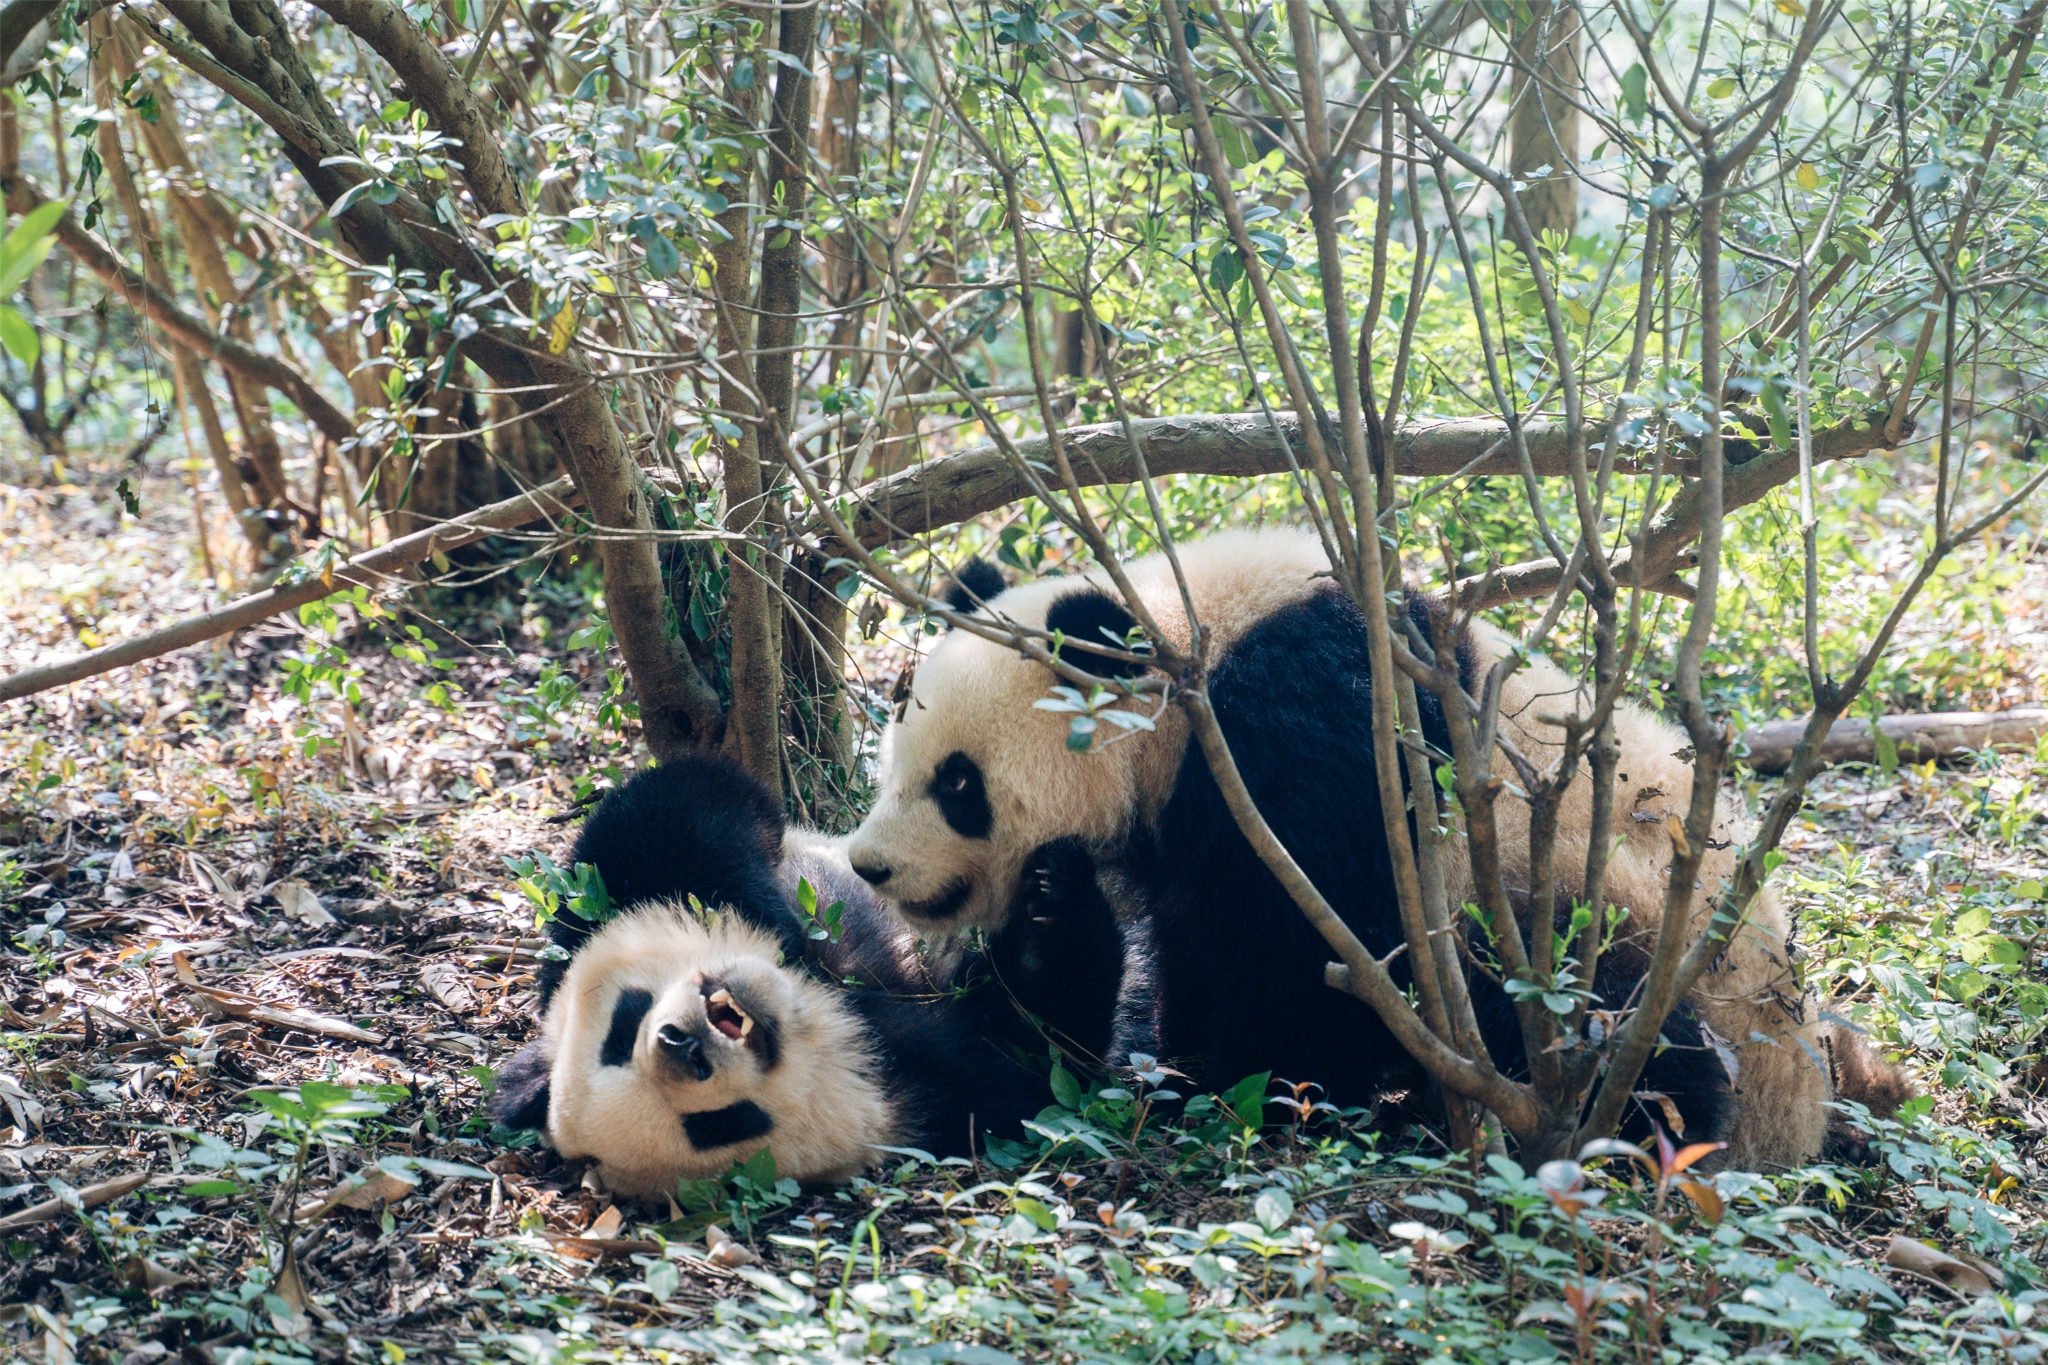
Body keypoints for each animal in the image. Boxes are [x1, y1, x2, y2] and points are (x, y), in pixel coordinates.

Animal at [491, 757, 1138, 1195]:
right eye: (719, 1125)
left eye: (620, 1035)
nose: (682, 1043)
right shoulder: (938, 1088)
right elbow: (1047, 1052)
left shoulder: (608, 892)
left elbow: (685, 801)